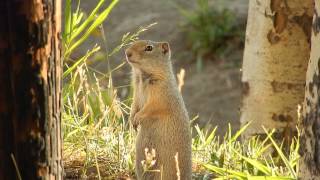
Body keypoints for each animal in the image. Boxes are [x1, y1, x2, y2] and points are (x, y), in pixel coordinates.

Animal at [124, 40, 190, 179]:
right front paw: (131, 120)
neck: (142, 77)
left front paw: (137, 118)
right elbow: (134, 105)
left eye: (149, 48)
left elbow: (151, 107)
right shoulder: (136, 93)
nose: (127, 52)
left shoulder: (159, 94)